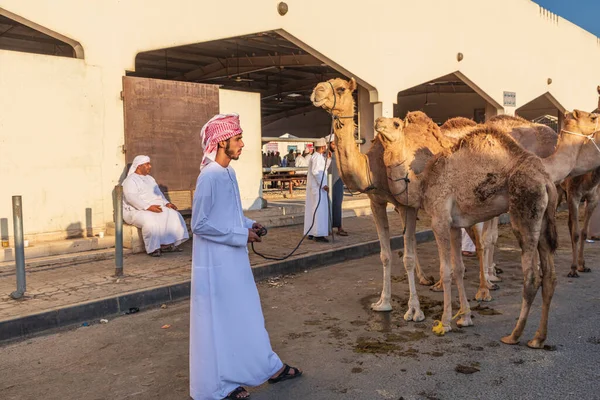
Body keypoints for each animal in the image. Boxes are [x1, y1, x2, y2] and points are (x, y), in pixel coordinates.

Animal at [312, 78, 434, 322]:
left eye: (341, 88)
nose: (316, 91)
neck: (374, 168)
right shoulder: (377, 202)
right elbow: (386, 255)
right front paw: (383, 303)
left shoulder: (406, 205)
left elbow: (406, 257)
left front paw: (415, 310)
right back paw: (427, 279)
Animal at [378, 115, 560, 346]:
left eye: (396, 124)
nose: (378, 123)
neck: (422, 184)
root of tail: (546, 181)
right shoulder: (455, 226)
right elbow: (458, 269)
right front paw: (465, 318)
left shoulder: (440, 220)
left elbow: (445, 271)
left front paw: (445, 322)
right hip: (544, 219)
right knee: (550, 276)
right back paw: (538, 338)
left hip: (526, 210)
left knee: (531, 276)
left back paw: (514, 335)